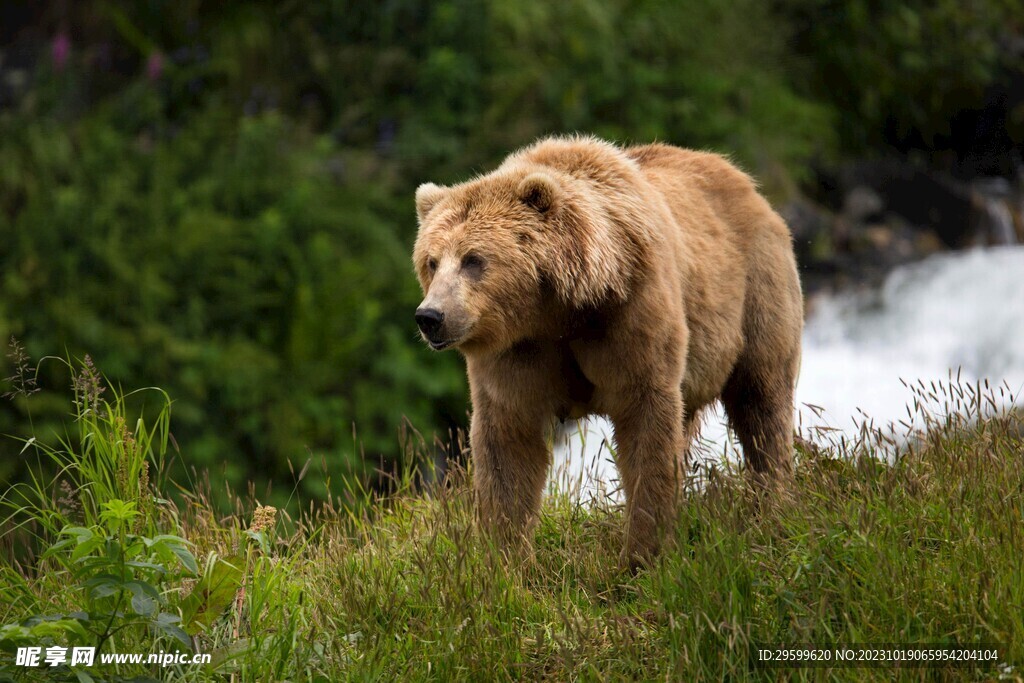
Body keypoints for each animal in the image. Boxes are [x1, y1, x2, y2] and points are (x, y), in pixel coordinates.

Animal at [411, 135, 802, 565]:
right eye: (431, 261)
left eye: (473, 259)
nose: (430, 316)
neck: (558, 311)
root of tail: (744, 181)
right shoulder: (516, 352)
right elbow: (507, 443)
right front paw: (505, 556)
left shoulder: (630, 318)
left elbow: (646, 427)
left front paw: (643, 554)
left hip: (756, 291)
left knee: (761, 404)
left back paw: (771, 505)